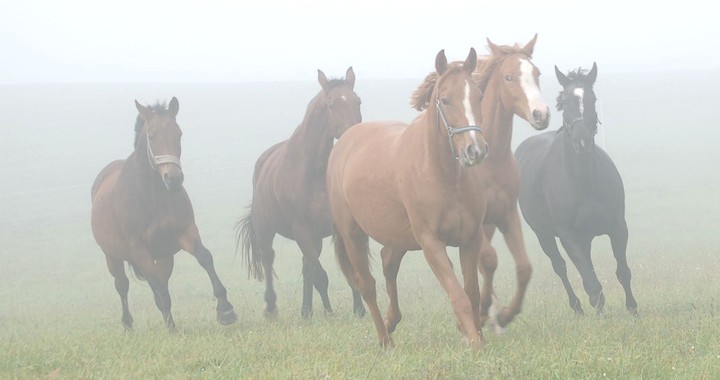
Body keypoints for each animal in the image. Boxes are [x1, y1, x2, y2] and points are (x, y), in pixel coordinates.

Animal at [89, 97, 236, 330]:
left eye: (179, 133)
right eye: (151, 136)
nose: (173, 179)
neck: (153, 198)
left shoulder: (184, 232)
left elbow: (205, 257)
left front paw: (225, 309)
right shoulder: (139, 250)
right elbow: (158, 291)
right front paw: (172, 329)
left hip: (165, 256)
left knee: (160, 282)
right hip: (112, 256)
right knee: (122, 285)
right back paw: (128, 324)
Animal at [235, 67, 362, 318]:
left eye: (358, 101)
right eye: (331, 104)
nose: (353, 134)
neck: (314, 172)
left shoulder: (335, 229)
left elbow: (345, 270)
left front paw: (360, 310)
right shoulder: (302, 231)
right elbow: (320, 276)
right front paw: (329, 313)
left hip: (314, 238)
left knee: (306, 267)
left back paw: (307, 311)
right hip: (267, 231)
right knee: (269, 260)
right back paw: (273, 308)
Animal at [410, 35, 552, 332]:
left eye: (536, 73)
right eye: (509, 77)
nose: (541, 114)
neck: (493, 163)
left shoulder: (507, 214)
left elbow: (524, 267)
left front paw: (506, 314)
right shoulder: (478, 222)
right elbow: (488, 259)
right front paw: (487, 309)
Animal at [516, 63, 640, 316]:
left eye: (592, 98)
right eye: (565, 102)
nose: (582, 141)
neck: (582, 182)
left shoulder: (617, 226)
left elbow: (623, 271)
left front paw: (632, 308)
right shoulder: (568, 236)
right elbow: (590, 282)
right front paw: (599, 310)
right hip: (543, 235)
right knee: (560, 267)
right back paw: (577, 307)